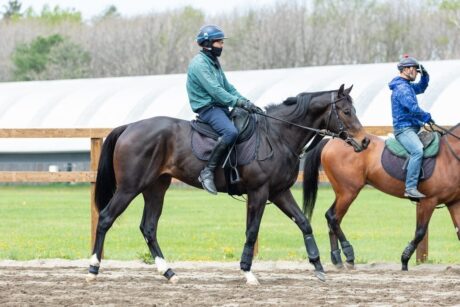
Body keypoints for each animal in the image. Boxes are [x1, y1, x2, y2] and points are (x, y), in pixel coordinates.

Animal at [83, 85, 370, 286]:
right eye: (346, 112)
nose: (365, 141)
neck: (277, 135)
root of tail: (129, 126)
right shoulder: (259, 192)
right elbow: (252, 231)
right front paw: (248, 272)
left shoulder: (279, 192)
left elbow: (303, 223)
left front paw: (318, 267)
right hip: (129, 187)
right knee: (106, 218)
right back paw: (94, 268)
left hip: (155, 188)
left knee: (149, 227)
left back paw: (168, 272)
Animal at [302, 124, 460, 270]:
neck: (449, 156)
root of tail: (331, 141)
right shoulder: (428, 201)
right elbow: (420, 232)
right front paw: (404, 260)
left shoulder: (454, 203)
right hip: (348, 192)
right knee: (333, 218)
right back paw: (349, 256)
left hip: (342, 193)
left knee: (332, 218)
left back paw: (337, 258)